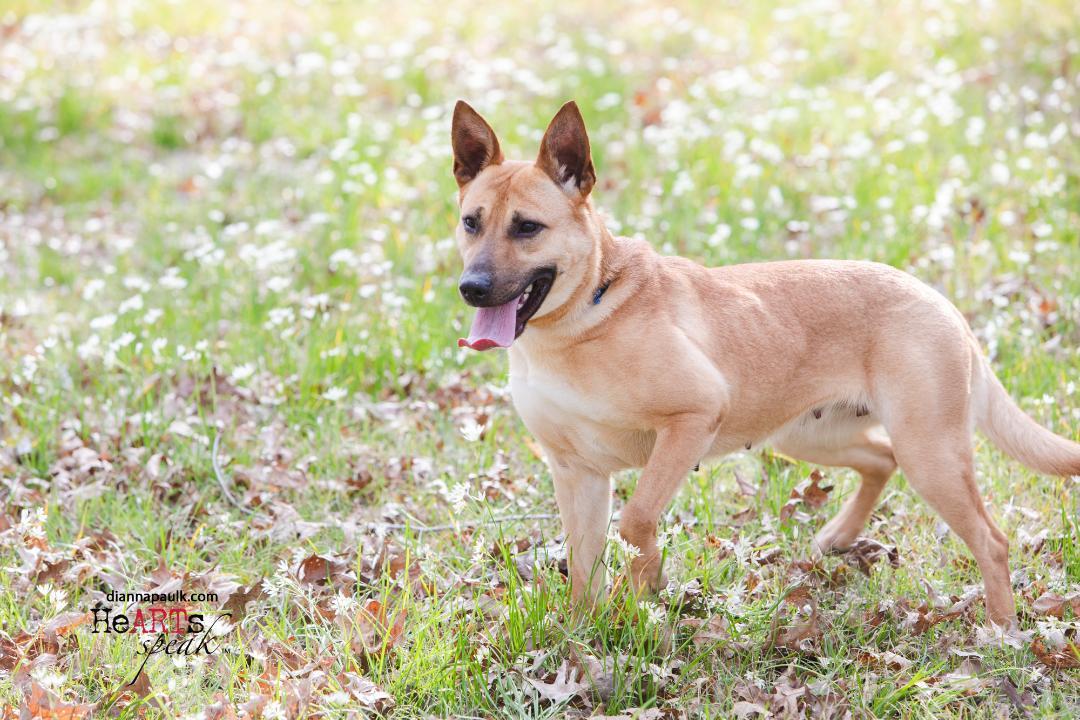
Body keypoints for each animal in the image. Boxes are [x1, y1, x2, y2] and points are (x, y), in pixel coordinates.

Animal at [449, 98, 1080, 626]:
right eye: (471, 222)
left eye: (528, 227)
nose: (471, 289)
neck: (582, 317)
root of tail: (943, 303)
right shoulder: (575, 472)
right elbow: (584, 565)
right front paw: (584, 636)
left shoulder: (692, 419)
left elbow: (637, 521)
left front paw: (646, 585)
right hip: (809, 436)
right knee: (880, 459)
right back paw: (838, 536)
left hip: (931, 454)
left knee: (991, 539)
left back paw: (1002, 631)